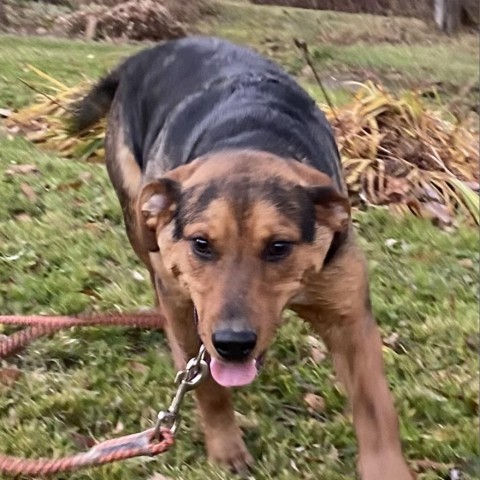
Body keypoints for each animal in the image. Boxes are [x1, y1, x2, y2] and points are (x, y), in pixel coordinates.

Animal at [74, 35, 412, 478]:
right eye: (201, 244)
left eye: (279, 247)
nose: (233, 344)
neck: (251, 138)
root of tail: (147, 53)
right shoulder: (185, 310)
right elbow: (209, 387)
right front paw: (225, 448)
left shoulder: (349, 318)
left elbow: (375, 408)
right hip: (139, 221)